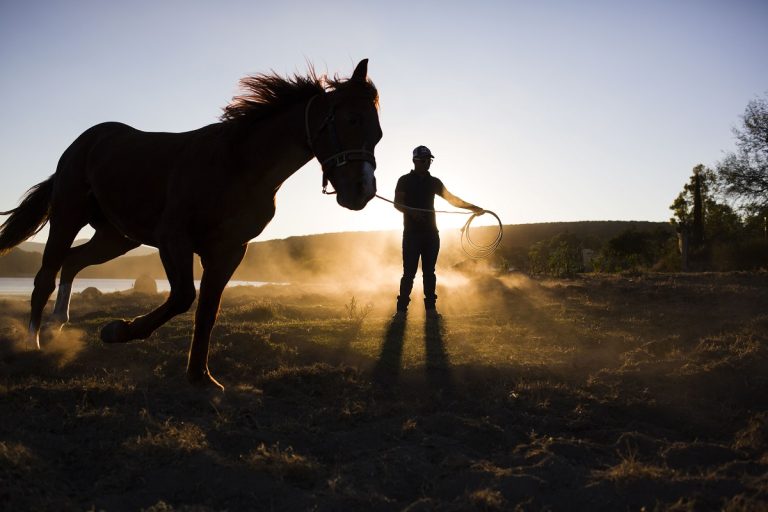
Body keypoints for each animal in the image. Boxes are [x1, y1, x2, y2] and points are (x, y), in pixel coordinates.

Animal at [0, 59, 382, 390]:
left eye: (377, 133)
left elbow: (207, 311)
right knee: (45, 276)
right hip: (68, 216)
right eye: (350, 120)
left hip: (117, 237)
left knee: (72, 262)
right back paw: (34, 341)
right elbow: (184, 297)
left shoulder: (229, 251)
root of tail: (85, 142)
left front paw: (201, 376)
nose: (362, 191)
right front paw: (117, 331)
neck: (236, 166)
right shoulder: (175, 239)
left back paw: (56, 326)